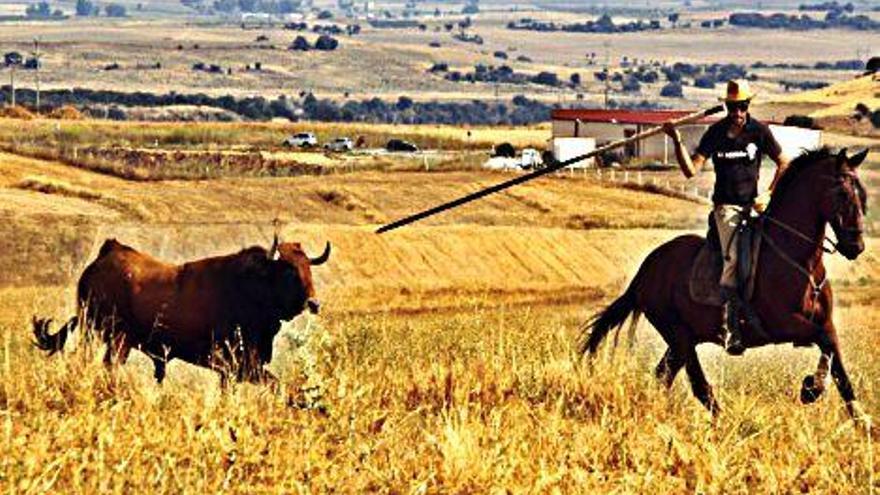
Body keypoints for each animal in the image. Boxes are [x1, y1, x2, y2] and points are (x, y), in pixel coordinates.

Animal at [32, 238, 332, 386]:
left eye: (309, 266)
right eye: (289, 270)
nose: (314, 303)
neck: (253, 284)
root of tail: (106, 256)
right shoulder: (237, 364)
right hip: (108, 339)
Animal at [580, 149, 868, 420]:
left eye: (861, 196)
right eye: (842, 194)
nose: (856, 246)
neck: (801, 260)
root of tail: (647, 269)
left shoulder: (825, 322)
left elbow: (838, 364)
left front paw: (861, 422)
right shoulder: (784, 323)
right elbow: (825, 344)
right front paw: (812, 388)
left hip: (684, 337)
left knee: (663, 375)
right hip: (679, 334)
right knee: (698, 386)